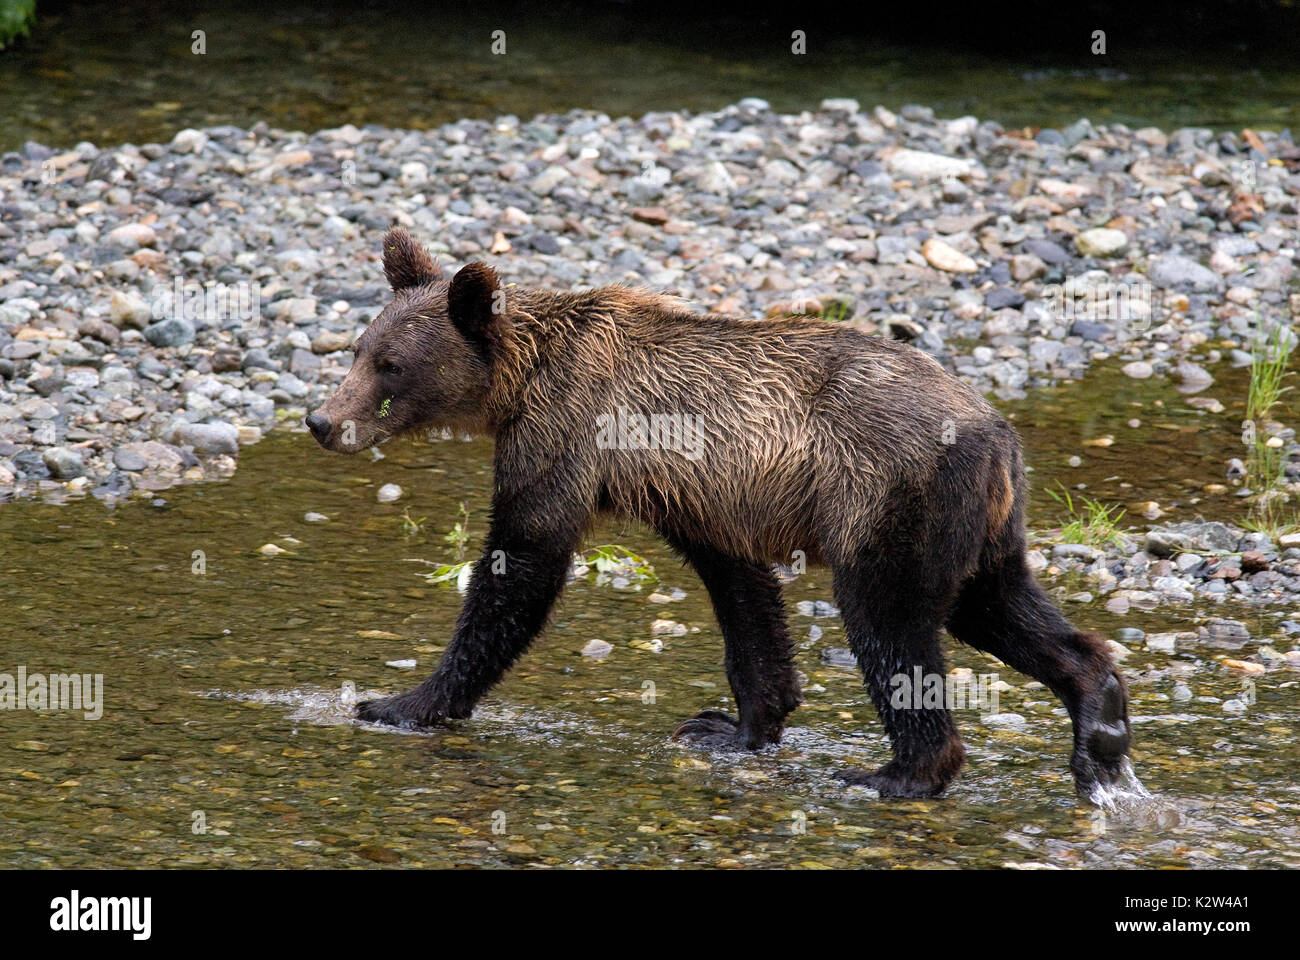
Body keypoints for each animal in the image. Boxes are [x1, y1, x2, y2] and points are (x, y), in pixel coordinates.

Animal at [306, 227, 1128, 796]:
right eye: (358, 348)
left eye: (389, 366)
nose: (321, 420)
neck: (516, 384)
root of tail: (995, 432)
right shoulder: (704, 495)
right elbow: (743, 597)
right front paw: (731, 726)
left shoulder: (564, 438)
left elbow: (520, 565)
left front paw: (402, 700)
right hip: (981, 525)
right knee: (1001, 607)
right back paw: (1101, 725)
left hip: (890, 495)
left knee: (891, 621)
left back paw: (899, 772)